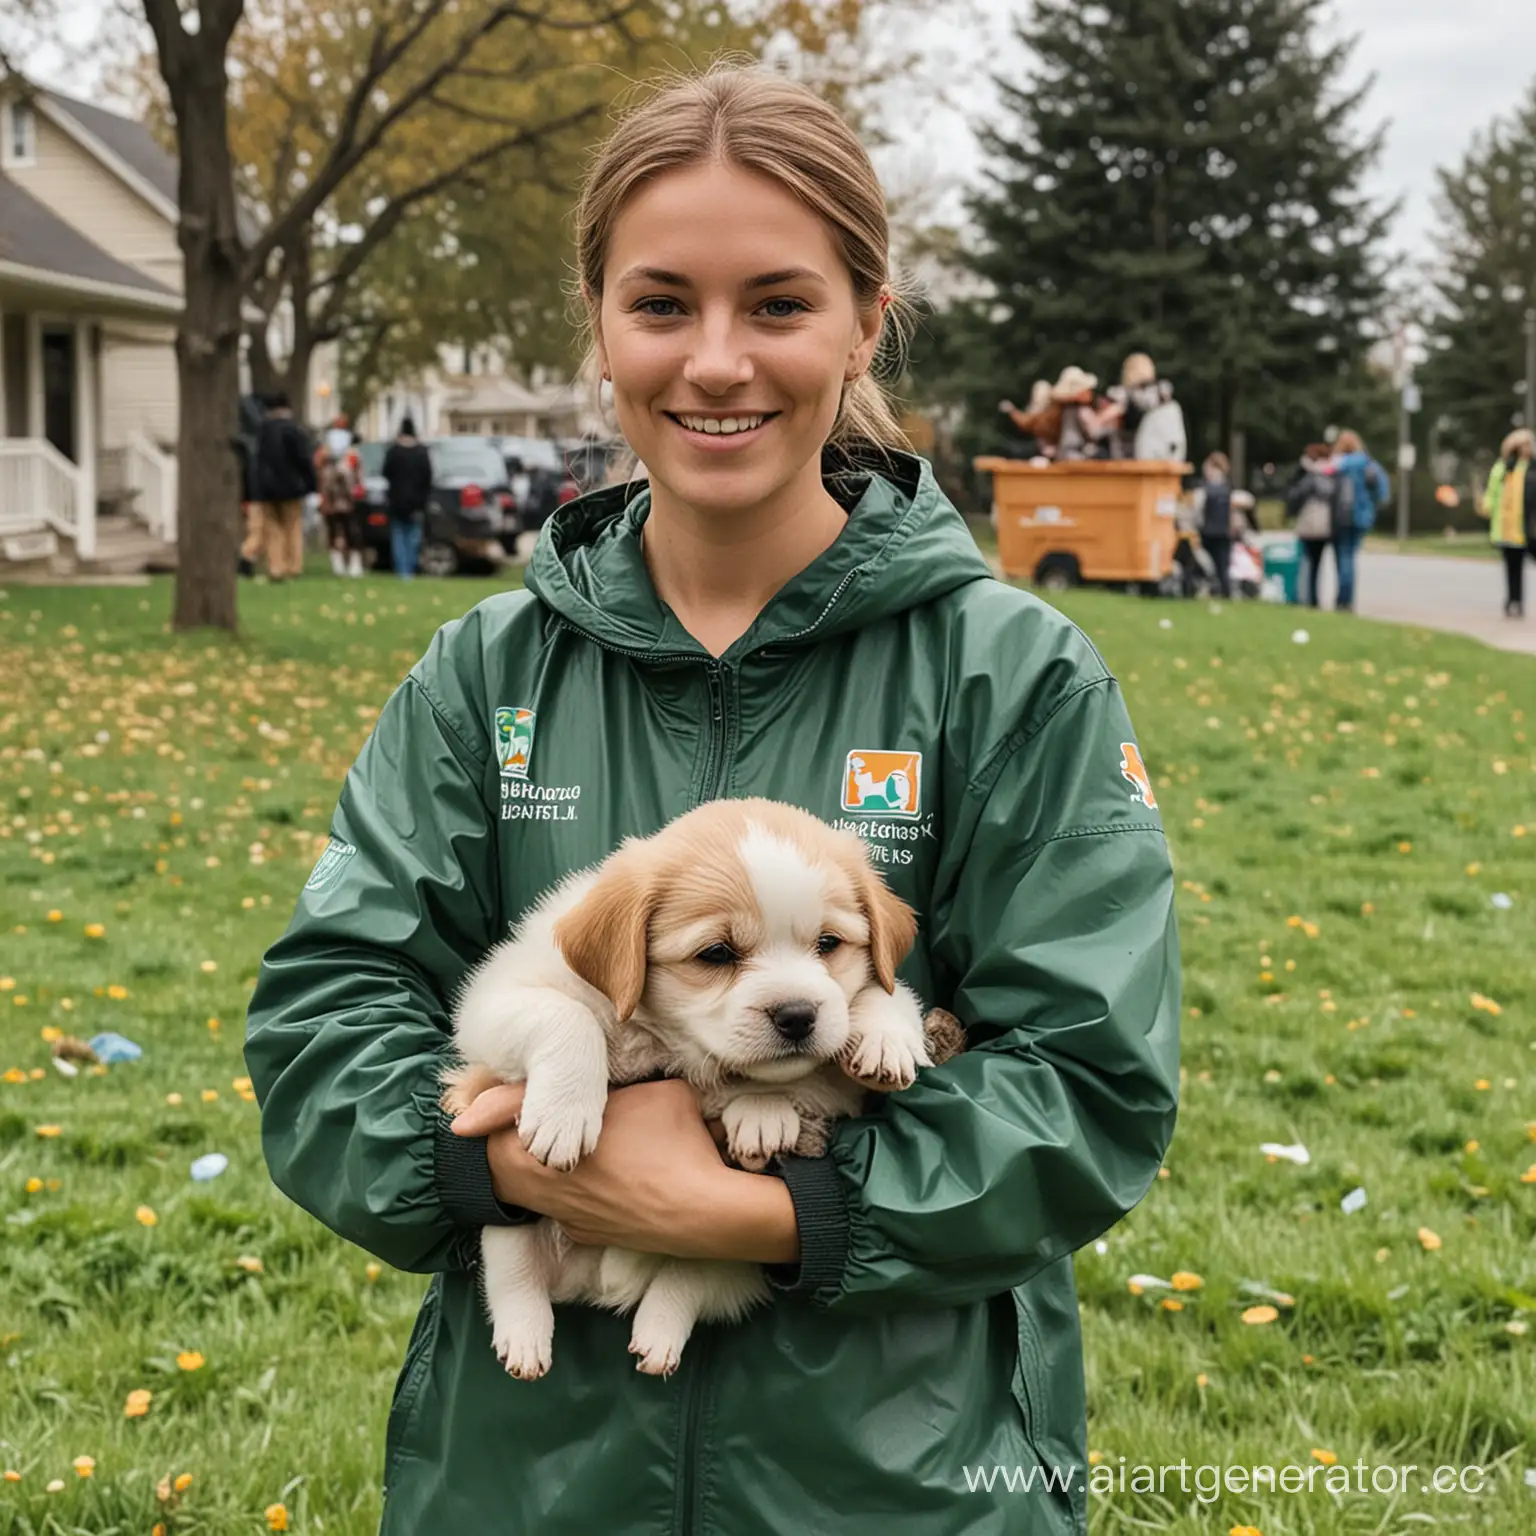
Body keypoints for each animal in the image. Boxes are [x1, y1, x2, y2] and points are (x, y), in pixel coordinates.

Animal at [439, 798, 927, 1388]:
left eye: (828, 944)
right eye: (716, 953)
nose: (797, 1015)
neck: (673, 1047)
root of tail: (603, 1283)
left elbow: (881, 991)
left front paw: (883, 1038)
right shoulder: (494, 999)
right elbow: (566, 1014)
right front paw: (564, 1116)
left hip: (729, 1246)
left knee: (686, 1281)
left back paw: (658, 1333)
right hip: (507, 1215)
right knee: (512, 1277)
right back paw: (526, 1339)